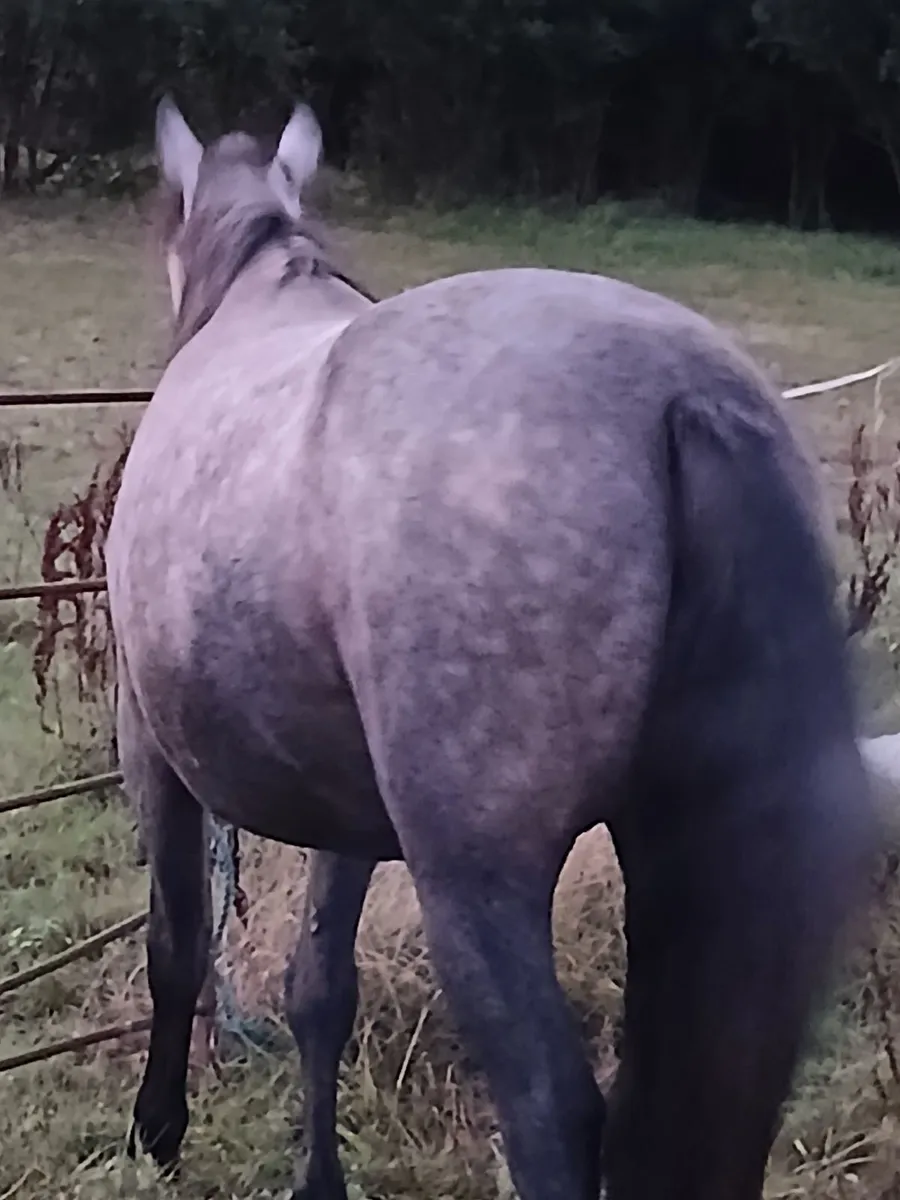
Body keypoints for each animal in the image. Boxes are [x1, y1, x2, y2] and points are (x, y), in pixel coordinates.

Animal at [105, 95, 877, 1200]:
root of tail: (681, 398)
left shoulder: (151, 748)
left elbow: (173, 949)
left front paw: (158, 1129)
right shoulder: (349, 814)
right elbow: (319, 990)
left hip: (479, 880)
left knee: (551, 1106)